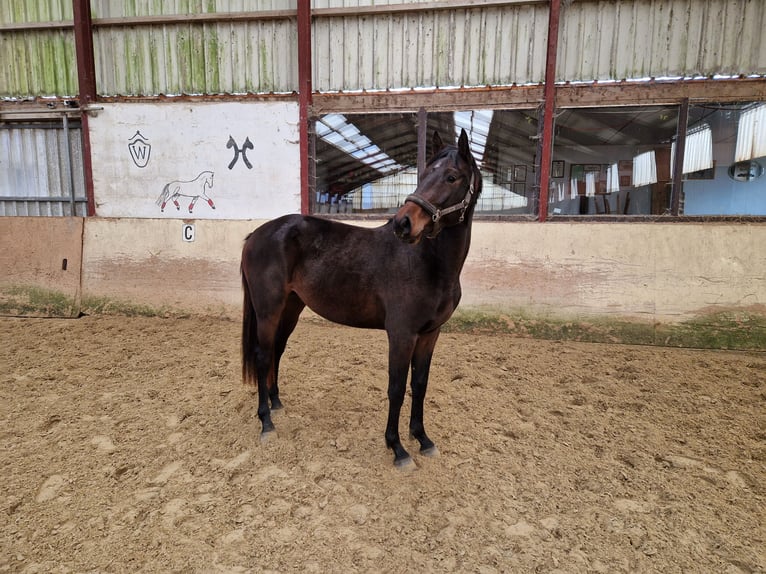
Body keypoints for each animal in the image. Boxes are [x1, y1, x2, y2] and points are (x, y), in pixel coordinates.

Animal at [240, 129, 484, 468]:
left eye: (451, 177)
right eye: (423, 175)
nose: (403, 223)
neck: (426, 262)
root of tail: (257, 235)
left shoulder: (430, 334)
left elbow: (419, 385)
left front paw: (422, 438)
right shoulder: (401, 334)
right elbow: (396, 388)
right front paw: (397, 448)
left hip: (291, 307)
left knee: (277, 350)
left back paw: (276, 403)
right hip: (268, 310)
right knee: (263, 356)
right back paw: (266, 422)